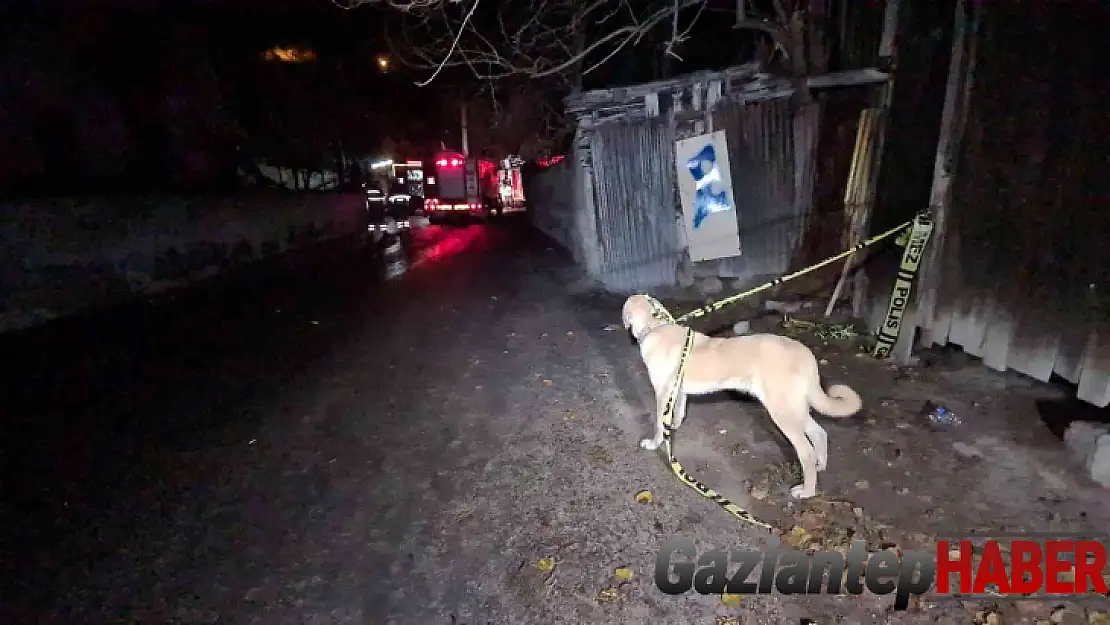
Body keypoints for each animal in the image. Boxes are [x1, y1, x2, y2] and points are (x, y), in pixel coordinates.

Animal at [621, 295, 861, 501]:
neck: (655, 325)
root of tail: (805, 353)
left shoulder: (662, 392)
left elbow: (659, 425)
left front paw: (655, 443)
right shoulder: (678, 392)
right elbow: (676, 415)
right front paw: (671, 429)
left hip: (782, 412)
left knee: (806, 451)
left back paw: (807, 491)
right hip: (795, 409)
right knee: (819, 433)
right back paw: (821, 466)